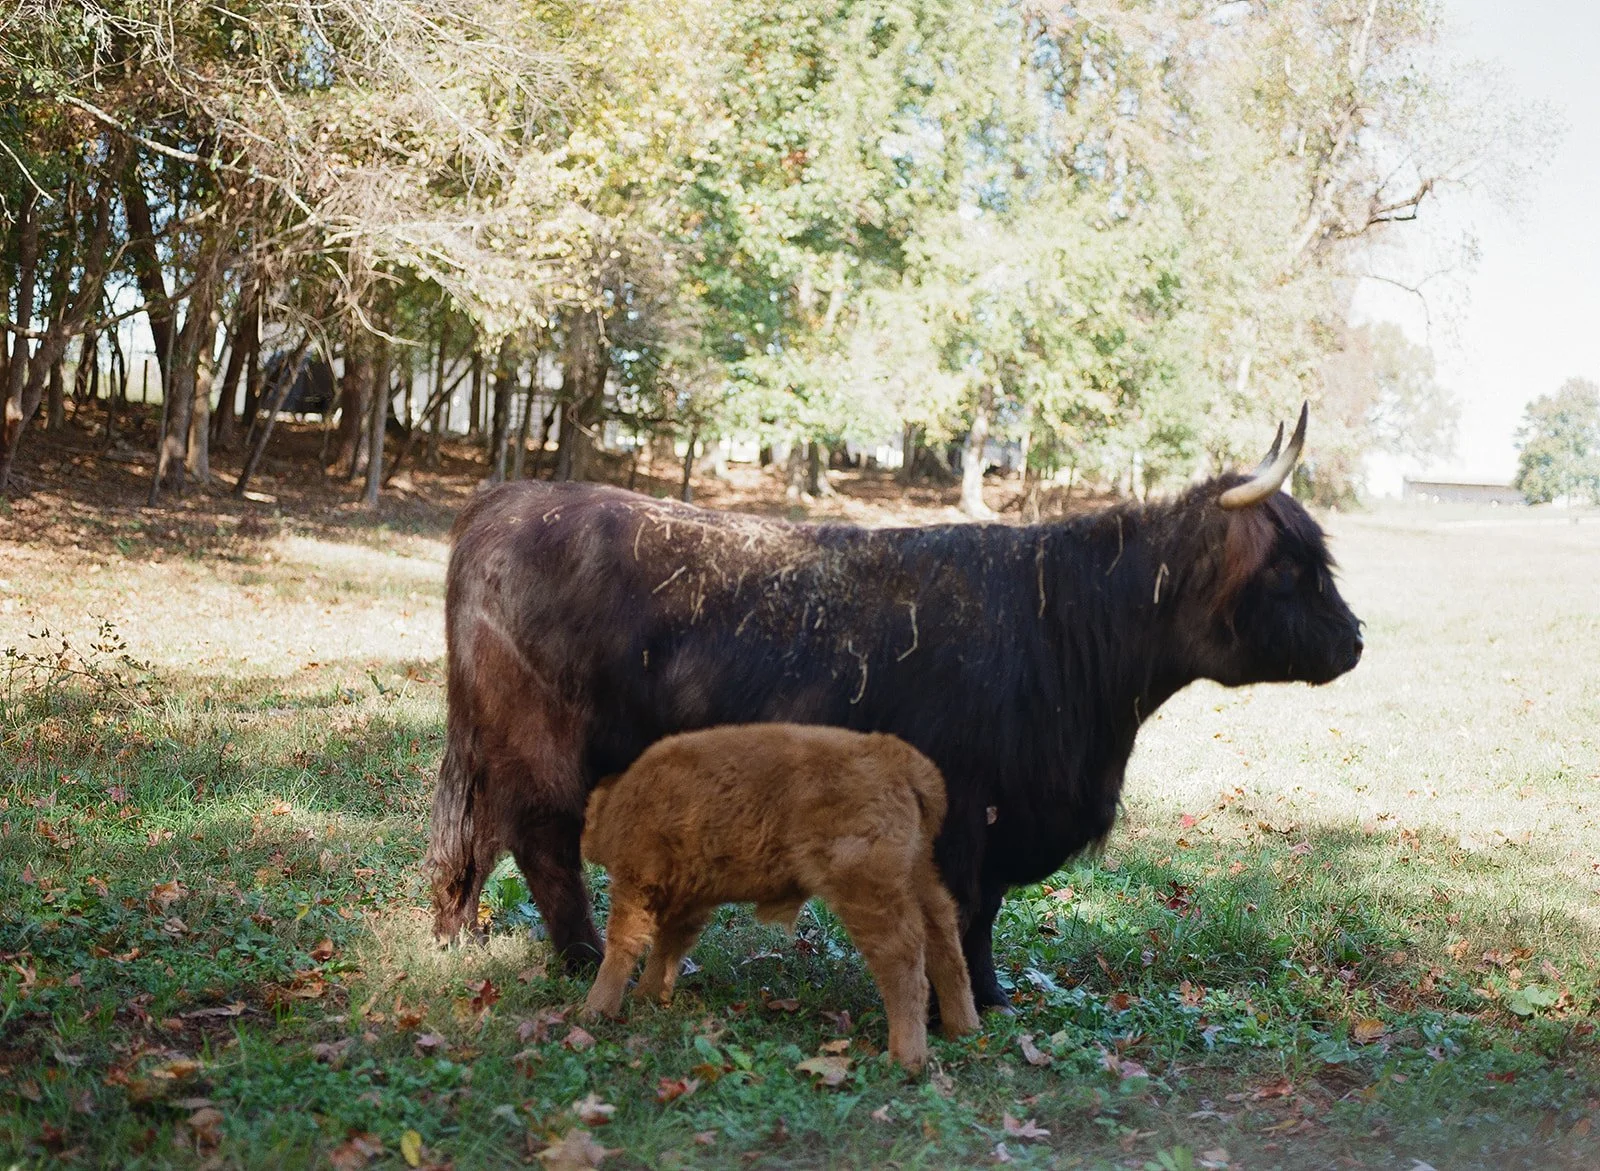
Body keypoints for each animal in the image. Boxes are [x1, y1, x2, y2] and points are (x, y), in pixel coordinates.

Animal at [425, 405, 1362, 1010]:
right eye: (1293, 568)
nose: (1355, 639)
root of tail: (504, 501)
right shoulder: (971, 809)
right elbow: (969, 908)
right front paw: (964, 1003)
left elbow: (983, 912)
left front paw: (992, 992)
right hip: (541, 745)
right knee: (542, 843)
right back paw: (583, 956)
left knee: (480, 838)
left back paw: (462, 932)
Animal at [579, 723, 980, 1071]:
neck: (625, 793)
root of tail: (895, 755)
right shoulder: (687, 901)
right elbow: (667, 946)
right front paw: (647, 996)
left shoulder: (636, 883)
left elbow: (623, 944)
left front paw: (595, 1009)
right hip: (919, 875)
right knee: (946, 944)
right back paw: (965, 1028)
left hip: (867, 888)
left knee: (903, 960)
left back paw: (906, 1058)